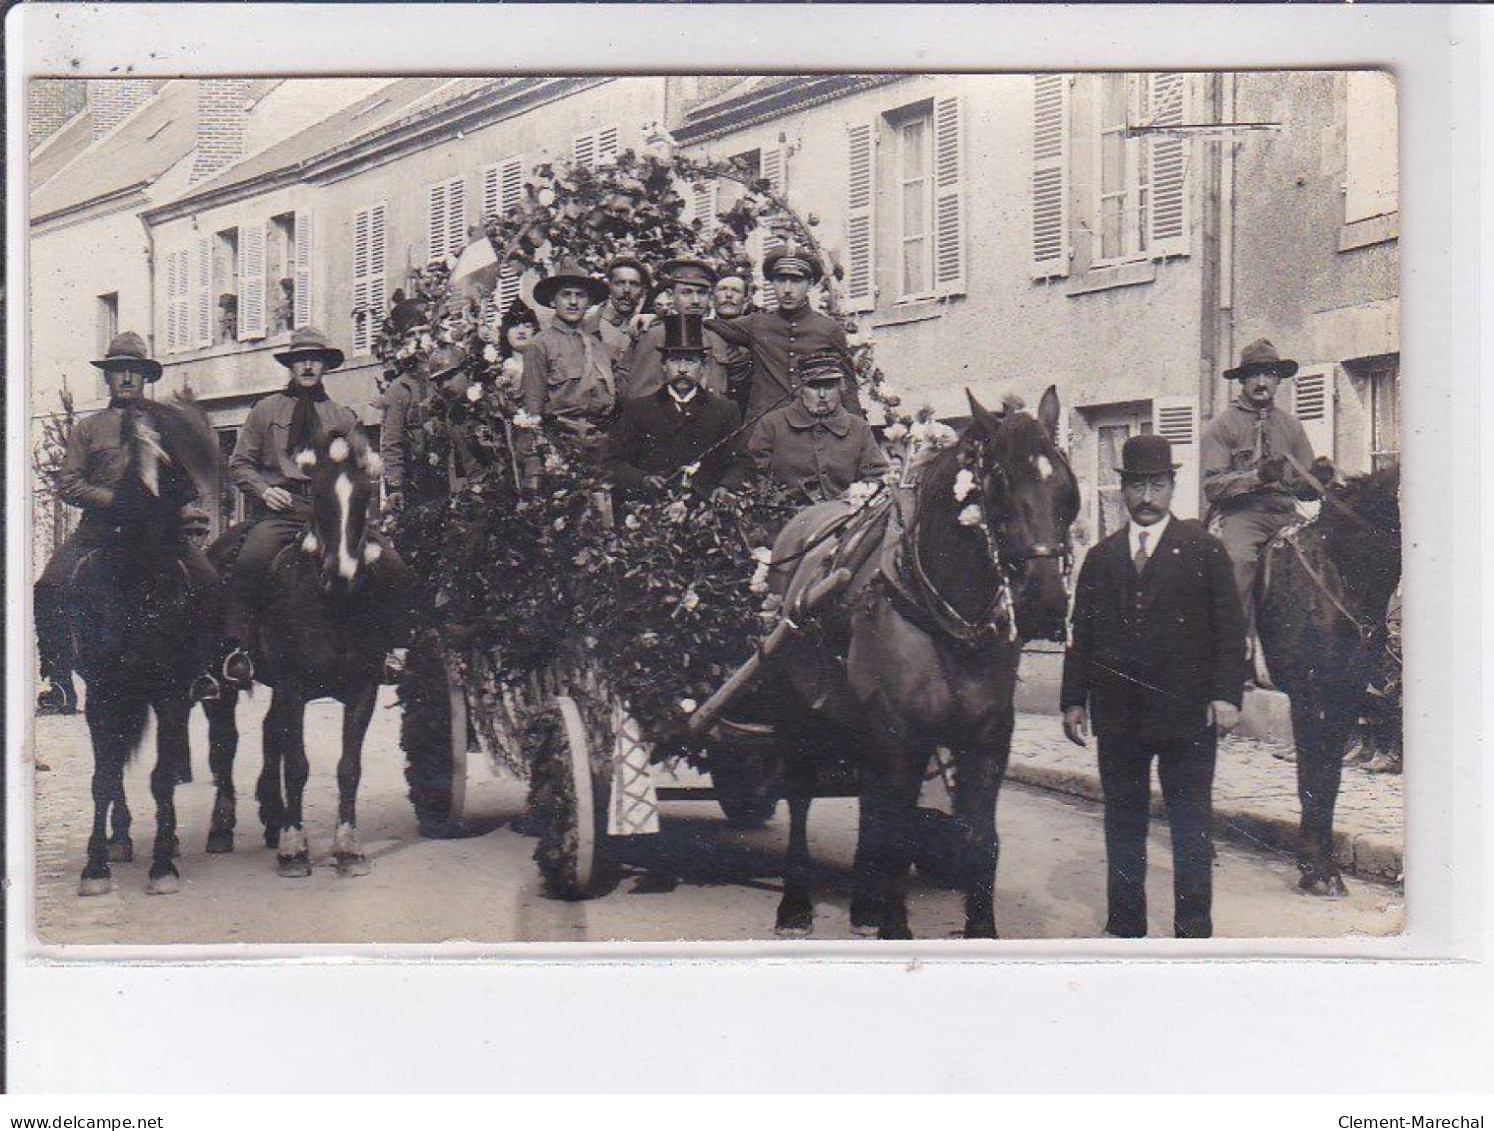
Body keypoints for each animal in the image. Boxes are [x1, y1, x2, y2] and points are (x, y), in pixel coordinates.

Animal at [73, 400, 219, 896]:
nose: (196, 521)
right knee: (116, 765)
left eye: (173, 457)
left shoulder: (171, 694)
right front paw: (95, 867)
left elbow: (160, 778)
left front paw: (162, 866)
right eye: (129, 459)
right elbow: (102, 777)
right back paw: (119, 840)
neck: (137, 591)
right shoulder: (102, 694)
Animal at [204, 427, 406, 878]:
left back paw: (271, 816)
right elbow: (297, 765)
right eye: (318, 495)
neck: (334, 609)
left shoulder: (363, 688)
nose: (342, 575)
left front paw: (347, 848)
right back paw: (222, 828)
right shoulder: (293, 687)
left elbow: (348, 767)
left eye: (366, 495)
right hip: (222, 683)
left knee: (268, 731)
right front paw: (294, 849)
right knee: (225, 742)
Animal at [764, 388, 1081, 938]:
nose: (1044, 605)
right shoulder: (901, 736)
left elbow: (979, 839)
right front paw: (896, 927)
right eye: (999, 484)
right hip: (798, 716)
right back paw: (796, 904)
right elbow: (897, 836)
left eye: (1066, 488)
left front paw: (980, 930)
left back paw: (864, 905)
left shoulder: (987, 738)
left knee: (871, 804)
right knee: (800, 796)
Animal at [1260, 463, 1398, 896]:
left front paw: (1323, 866)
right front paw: (1314, 868)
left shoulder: (1346, 695)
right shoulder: (1308, 695)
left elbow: (1330, 777)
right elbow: (1310, 773)